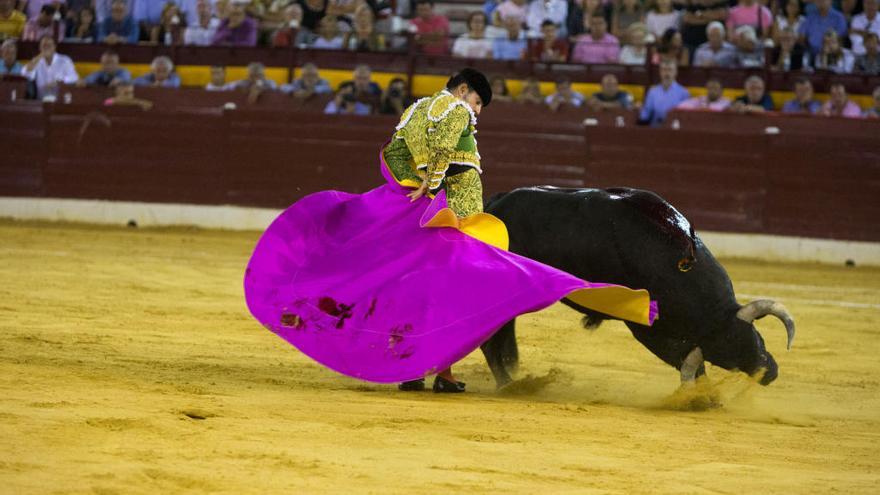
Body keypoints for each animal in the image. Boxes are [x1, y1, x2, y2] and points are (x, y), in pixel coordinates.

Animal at [482, 188, 796, 390]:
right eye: (728, 363)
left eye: (756, 337)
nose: (769, 373)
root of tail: (490, 207)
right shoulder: (647, 328)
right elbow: (683, 359)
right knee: (492, 338)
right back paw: (509, 384)